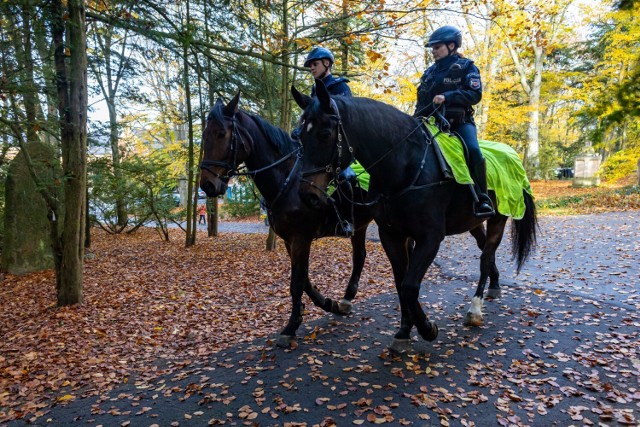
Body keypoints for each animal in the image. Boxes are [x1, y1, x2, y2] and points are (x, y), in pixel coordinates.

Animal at [201, 93, 376, 348]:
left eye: (221, 133)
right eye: (204, 135)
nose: (207, 184)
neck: (287, 181)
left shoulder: (301, 239)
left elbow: (297, 283)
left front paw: (291, 327)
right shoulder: (288, 240)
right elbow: (304, 281)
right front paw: (327, 304)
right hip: (360, 225)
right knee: (360, 256)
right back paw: (346, 298)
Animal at [292, 81, 536, 354]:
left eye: (325, 134)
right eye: (299, 136)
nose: (307, 195)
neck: (405, 166)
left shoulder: (430, 238)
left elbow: (410, 286)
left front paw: (427, 329)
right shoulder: (392, 236)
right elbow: (401, 284)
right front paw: (404, 332)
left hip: (498, 220)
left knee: (485, 258)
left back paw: (475, 309)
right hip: (473, 224)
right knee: (486, 252)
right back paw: (493, 287)